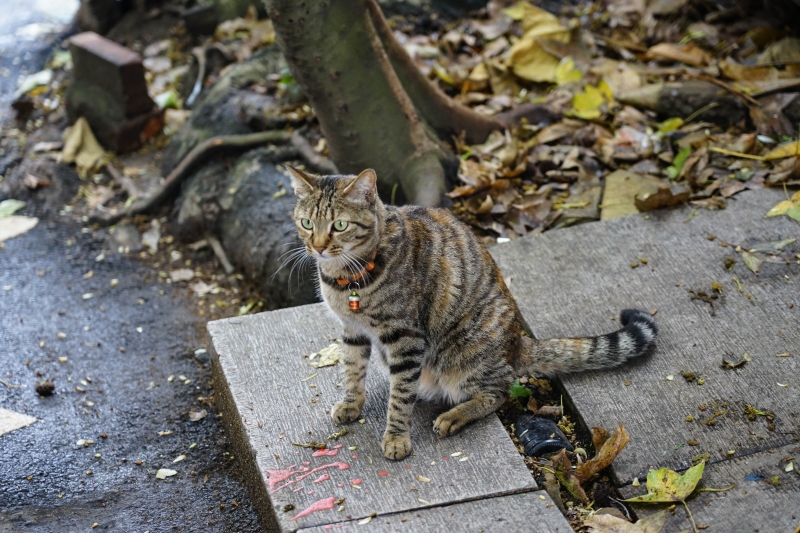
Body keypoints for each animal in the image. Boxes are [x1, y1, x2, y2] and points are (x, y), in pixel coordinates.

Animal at [288, 168, 656, 460]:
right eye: (307, 223)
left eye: (339, 225)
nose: (317, 246)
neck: (345, 278)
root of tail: (518, 343)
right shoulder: (352, 330)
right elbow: (352, 370)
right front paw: (351, 403)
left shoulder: (406, 338)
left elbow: (401, 397)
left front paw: (396, 437)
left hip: (464, 354)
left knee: (499, 391)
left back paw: (454, 415)